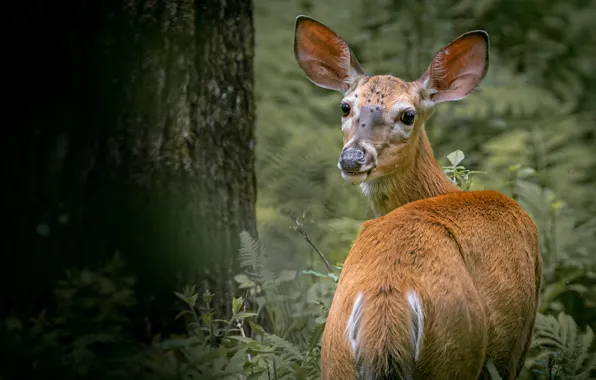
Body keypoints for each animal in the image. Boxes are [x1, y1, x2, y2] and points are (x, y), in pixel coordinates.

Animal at [294, 14, 544, 380]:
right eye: (345, 107)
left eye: (408, 115)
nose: (353, 158)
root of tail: (387, 303)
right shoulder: (515, 346)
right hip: (454, 355)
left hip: (334, 356)